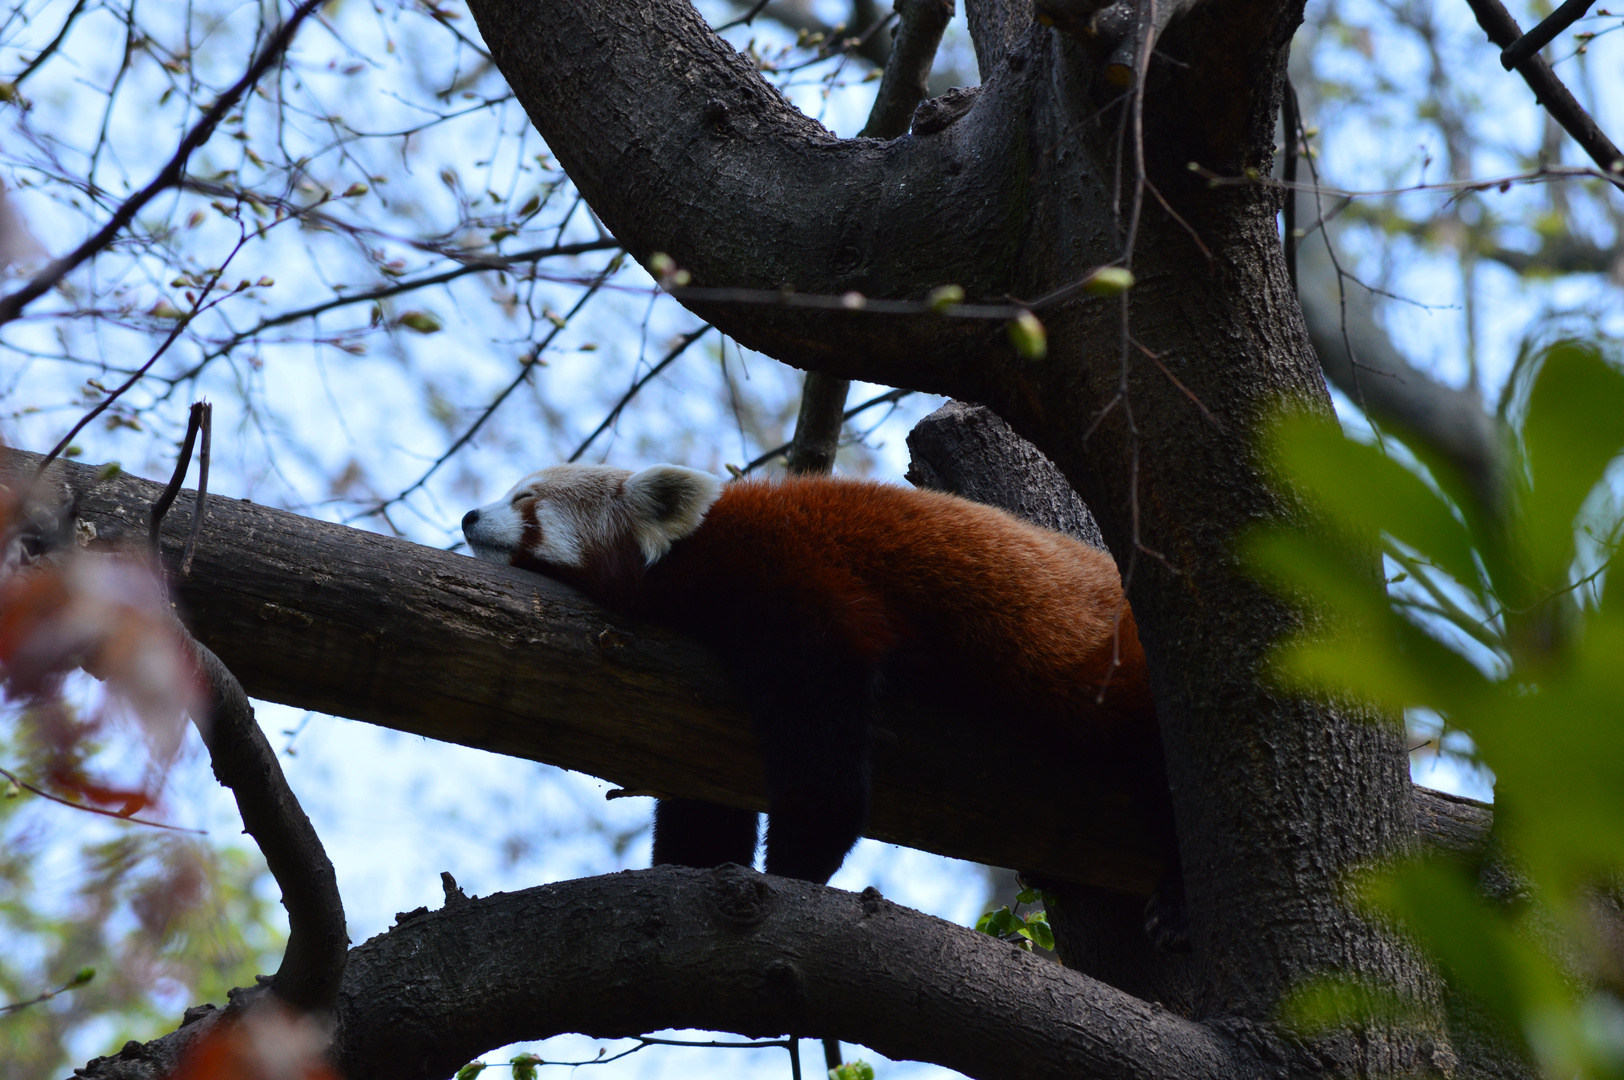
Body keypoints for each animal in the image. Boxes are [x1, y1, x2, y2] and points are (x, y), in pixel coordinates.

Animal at [464, 464, 1188, 941]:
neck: (696, 551)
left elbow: (823, 728)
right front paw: (692, 865)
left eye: (525, 498)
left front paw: (796, 863)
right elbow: (704, 795)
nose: (471, 515)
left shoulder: (797, 581)